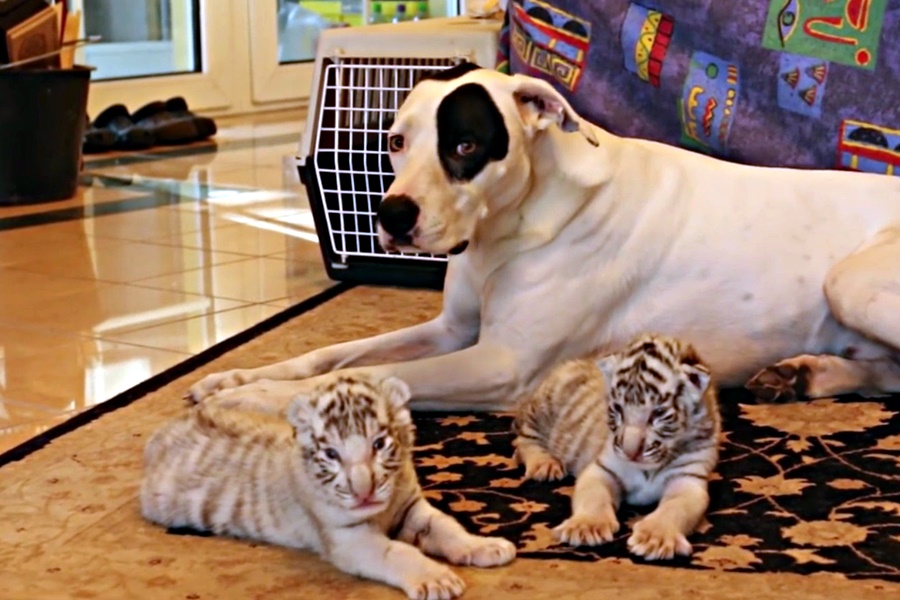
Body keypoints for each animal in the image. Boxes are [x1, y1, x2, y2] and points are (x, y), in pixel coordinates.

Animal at [186, 65, 900, 412]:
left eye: (465, 146)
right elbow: (333, 353)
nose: (391, 215)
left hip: (850, 282)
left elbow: (377, 375)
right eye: (395, 141)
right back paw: (807, 373)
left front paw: (254, 398)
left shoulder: (500, 364)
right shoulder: (453, 331)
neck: (511, 228)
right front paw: (241, 376)